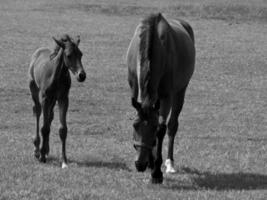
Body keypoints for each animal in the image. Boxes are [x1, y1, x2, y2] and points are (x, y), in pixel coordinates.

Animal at [28, 33, 86, 168]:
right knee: (37, 112)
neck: (57, 76)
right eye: (69, 55)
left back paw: (46, 149)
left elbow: (62, 129)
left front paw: (64, 161)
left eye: (81, 54)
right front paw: (42, 156)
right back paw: (37, 149)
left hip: (53, 100)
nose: (82, 75)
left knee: (50, 117)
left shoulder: (63, 99)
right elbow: (44, 128)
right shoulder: (45, 98)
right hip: (34, 89)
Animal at [126, 13, 196, 184]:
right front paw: (151, 164)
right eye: (134, 126)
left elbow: (162, 129)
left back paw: (169, 163)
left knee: (172, 126)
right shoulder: (135, 89)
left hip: (180, 91)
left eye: (152, 128)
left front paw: (156, 172)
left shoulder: (166, 97)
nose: (139, 164)